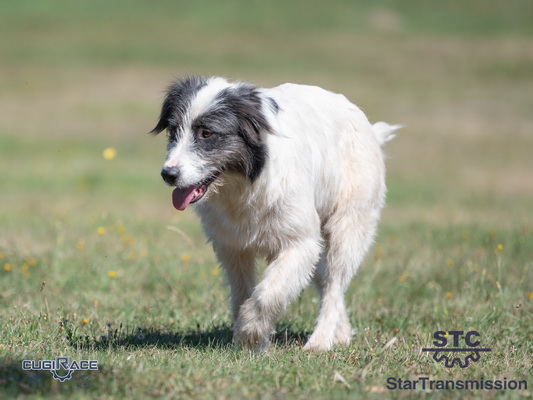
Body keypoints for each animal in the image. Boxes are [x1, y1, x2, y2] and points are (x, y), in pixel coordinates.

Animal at [151, 76, 399, 351]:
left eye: (207, 133)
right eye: (174, 131)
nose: (168, 174)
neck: (245, 184)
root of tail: (370, 129)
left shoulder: (300, 241)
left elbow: (267, 295)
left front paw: (250, 333)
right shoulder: (232, 247)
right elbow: (243, 291)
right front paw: (251, 342)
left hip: (348, 226)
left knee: (334, 284)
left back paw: (320, 342)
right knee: (324, 281)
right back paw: (342, 333)